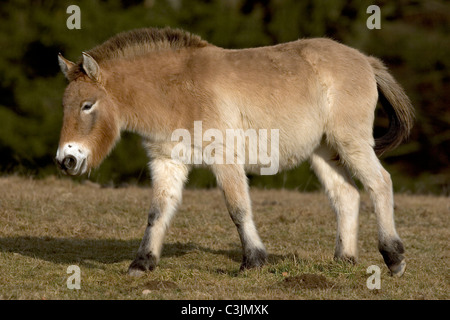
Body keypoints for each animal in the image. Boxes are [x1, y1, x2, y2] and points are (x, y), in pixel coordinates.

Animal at [57, 28, 414, 278]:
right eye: (65, 105)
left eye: (87, 105)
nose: (66, 160)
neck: (177, 89)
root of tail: (365, 60)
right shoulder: (167, 162)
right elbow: (157, 213)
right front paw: (141, 264)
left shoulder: (225, 160)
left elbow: (238, 209)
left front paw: (252, 262)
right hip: (323, 151)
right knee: (347, 195)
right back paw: (344, 260)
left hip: (351, 142)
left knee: (380, 183)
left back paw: (393, 258)